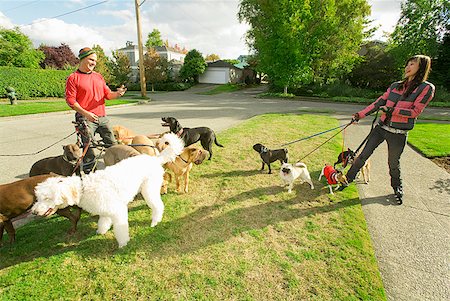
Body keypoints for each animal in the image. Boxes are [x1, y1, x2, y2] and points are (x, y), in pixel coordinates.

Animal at [31, 132, 185, 247]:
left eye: (47, 198)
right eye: (38, 197)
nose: (34, 212)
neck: (84, 188)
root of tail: (154, 159)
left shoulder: (118, 211)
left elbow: (121, 229)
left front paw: (123, 243)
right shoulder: (105, 209)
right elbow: (103, 221)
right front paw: (101, 231)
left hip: (149, 189)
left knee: (158, 206)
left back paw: (155, 221)